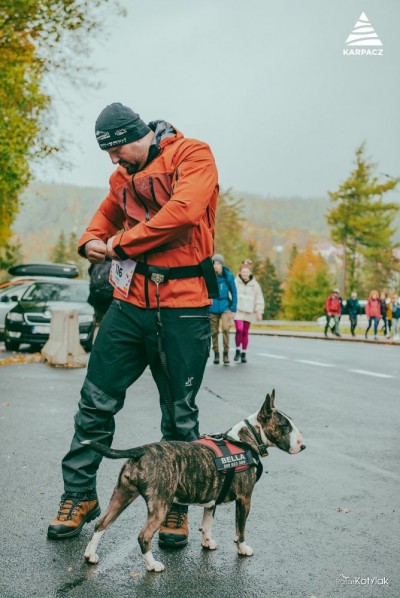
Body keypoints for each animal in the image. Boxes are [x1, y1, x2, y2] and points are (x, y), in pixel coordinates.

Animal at [83, 392, 304, 576]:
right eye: (285, 426)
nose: (303, 446)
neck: (245, 440)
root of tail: (141, 450)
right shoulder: (244, 499)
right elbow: (240, 528)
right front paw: (242, 548)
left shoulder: (212, 501)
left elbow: (207, 525)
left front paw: (207, 543)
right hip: (160, 505)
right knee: (143, 536)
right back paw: (152, 565)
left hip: (122, 494)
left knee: (101, 523)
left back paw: (90, 555)